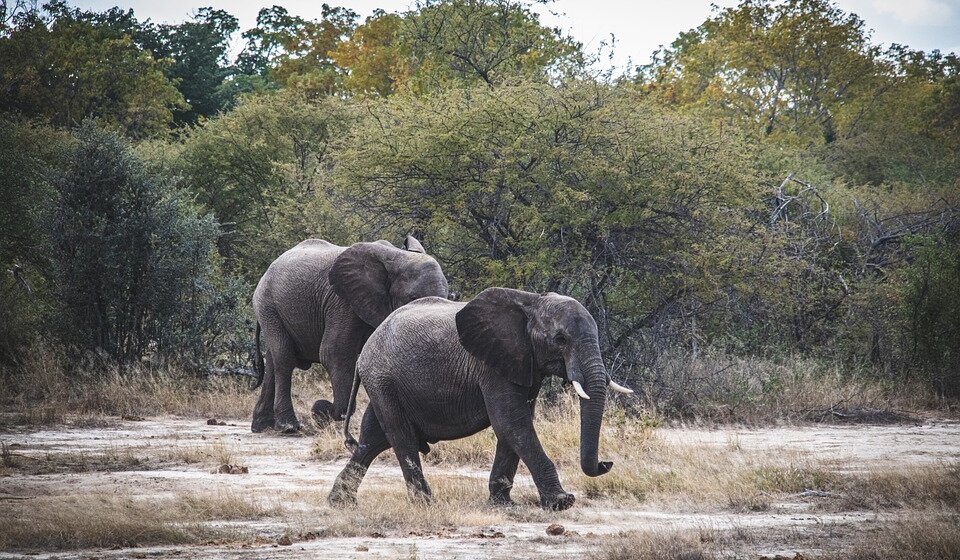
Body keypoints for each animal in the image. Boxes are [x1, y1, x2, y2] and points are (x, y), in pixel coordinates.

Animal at [249, 236, 448, 434]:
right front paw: (324, 411)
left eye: (450, 297)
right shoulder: (342, 302)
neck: (398, 257)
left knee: (273, 360)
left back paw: (262, 426)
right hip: (268, 305)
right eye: (412, 298)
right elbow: (333, 352)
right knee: (284, 357)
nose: (317, 410)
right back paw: (288, 427)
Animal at [326, 286, 632, 510]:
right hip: (382, 378)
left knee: (372, 438)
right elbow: (511, 421)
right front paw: (562, 502)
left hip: (383, 382)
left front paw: (503, 504)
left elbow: (515, 424)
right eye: (560, 339)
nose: (606, 464)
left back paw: (340, 503)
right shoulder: (490, 365)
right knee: (399, 435)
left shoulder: (523, 362)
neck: (532, 302)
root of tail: (365, 352)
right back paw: (426, 504)